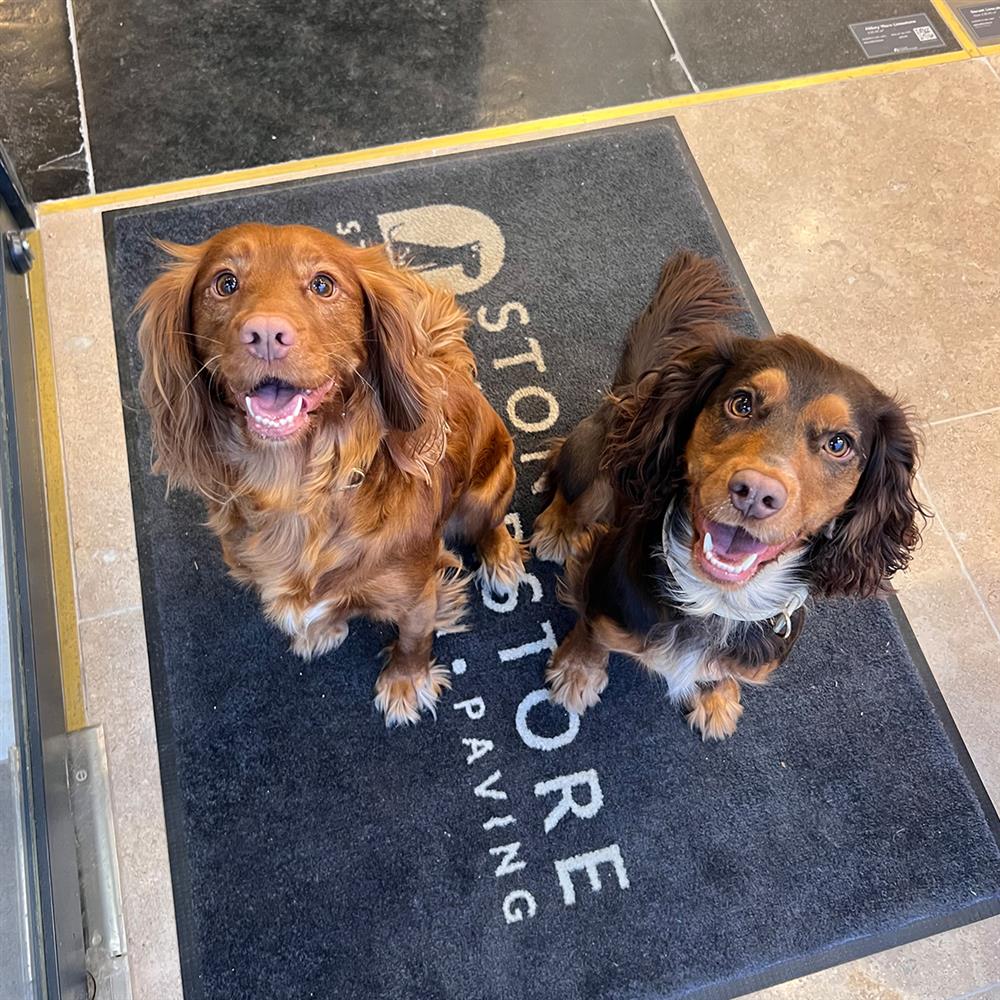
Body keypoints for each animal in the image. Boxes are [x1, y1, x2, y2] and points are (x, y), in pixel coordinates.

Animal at [137, 222, 524, 726]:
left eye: (323, 284)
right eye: (225, 283)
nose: (265, 333)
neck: (298, 489)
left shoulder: (418, 593)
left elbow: (414, 639)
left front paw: (405, 683)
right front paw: (322, 629)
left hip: (487, 488)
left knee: (490, 526)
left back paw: (502, 560)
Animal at [530, 252, 925, 740]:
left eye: (839, 444)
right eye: (742, 403)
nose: (755, 494)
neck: (715, 600)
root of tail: (629, 392)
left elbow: (721, 672)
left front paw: (717, 697)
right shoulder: (602, 588)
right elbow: (591, 630)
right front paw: (577, 671)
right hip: (595, 461)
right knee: (571, 488)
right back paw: (557, 528)